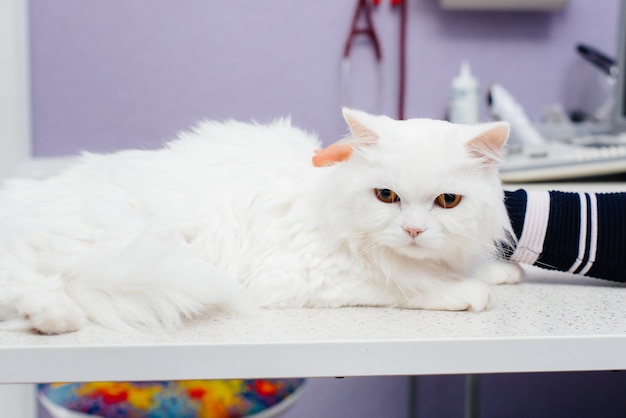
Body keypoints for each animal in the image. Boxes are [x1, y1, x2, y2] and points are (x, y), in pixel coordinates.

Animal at [0, 109, 520, 334]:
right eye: (386, 196)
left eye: (447, 201)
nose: (412, 230)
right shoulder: (312, 274)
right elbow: (405, 281)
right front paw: (465, 291)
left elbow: (462, 263)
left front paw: (498, 272)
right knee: (33, 285)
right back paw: (53, 320)